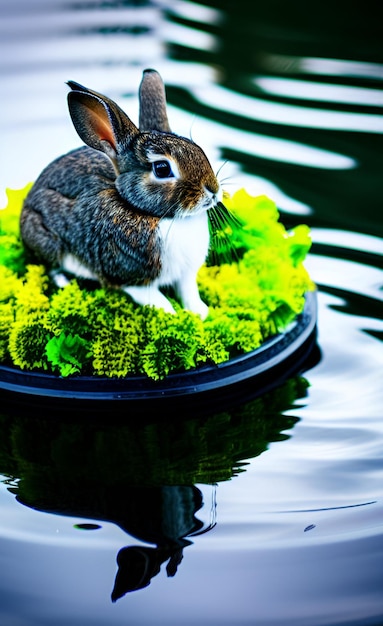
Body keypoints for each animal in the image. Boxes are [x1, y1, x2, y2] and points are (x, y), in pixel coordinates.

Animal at [19, 69, 222, 316]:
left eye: (198, 148)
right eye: (162, 168)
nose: (213, 191)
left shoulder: (186, 275)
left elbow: (189, 292)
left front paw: (200, 313)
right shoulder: (131, 278)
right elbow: (155, 299)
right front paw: (172, 314)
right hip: (47, 241)